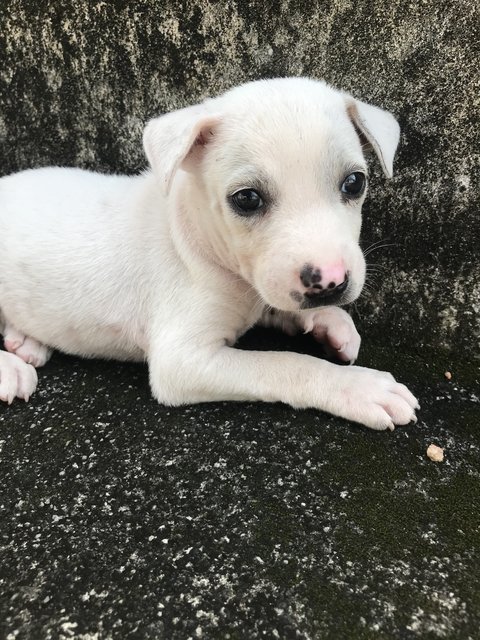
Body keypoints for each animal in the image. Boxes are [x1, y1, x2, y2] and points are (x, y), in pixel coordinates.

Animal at [0, 79, 418, 430]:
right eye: (247, 199)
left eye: (355, 182)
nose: (330, 282)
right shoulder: (182, 361)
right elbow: (285, 363)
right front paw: (361, 388)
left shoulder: (261, 289)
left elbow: (283, 307)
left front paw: (331, 323)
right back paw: (10, 369)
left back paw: (27, 342)